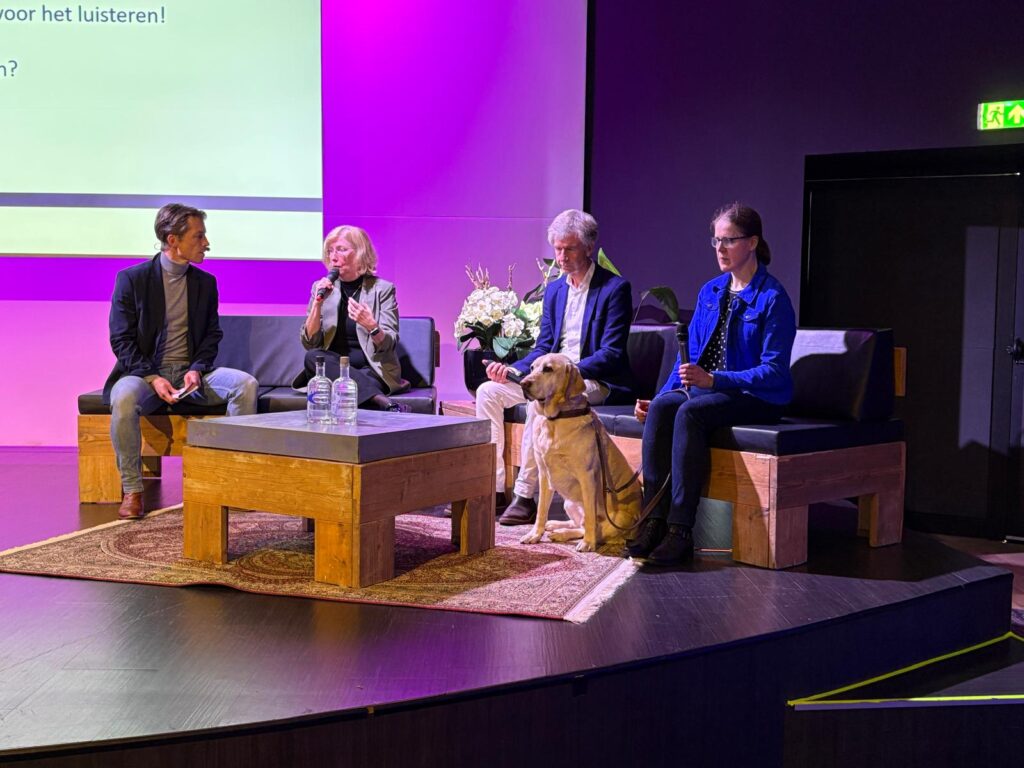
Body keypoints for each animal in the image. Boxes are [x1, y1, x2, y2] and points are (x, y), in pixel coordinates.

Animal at [520, 354, 638, 552]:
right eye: (532, 368)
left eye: (548, 369)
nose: (523, 383)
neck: (556, 419)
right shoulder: (544, 474)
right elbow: (541, 510)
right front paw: (534, 534)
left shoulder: (587, 476)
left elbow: (590, 516)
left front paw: (588, 543)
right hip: (569, 502)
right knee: (578, 524)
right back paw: (556, 526)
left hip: (615, 519)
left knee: (592, 528)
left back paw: (566, 534)